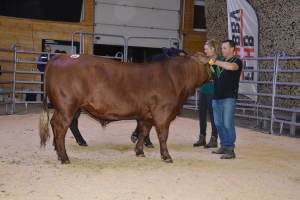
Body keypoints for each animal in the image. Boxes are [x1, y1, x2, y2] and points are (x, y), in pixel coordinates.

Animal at [39, 52, 217, 163]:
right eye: (211, 64)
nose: (215, 75)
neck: (176, 77)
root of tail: (62, 56)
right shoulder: (162, 112)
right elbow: (163, 135)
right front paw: (166, 156)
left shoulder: (146, 115)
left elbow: (143, 132)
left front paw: (139, 151)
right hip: (67, 106)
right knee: (61, 128)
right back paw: (64, 157)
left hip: (62, 108)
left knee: (54, 124)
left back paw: (59, 153)